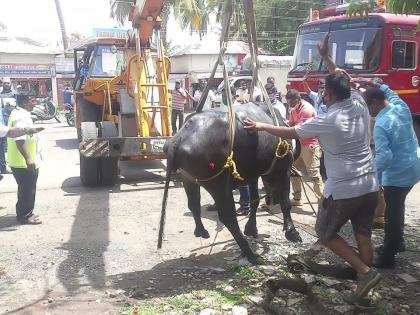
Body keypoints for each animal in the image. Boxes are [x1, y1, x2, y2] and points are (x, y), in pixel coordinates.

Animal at [158, 103, 302, 264]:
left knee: (194, 205)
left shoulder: (253, 175)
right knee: (228, 217)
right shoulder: (284, 170)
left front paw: (251, 229)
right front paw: (292, 232)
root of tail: (178, 139)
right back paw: (250, 254)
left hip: (188, 179)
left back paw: (201, 231)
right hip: (220, 187)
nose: (272, 200)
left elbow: (254, 200)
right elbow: (286, 204)